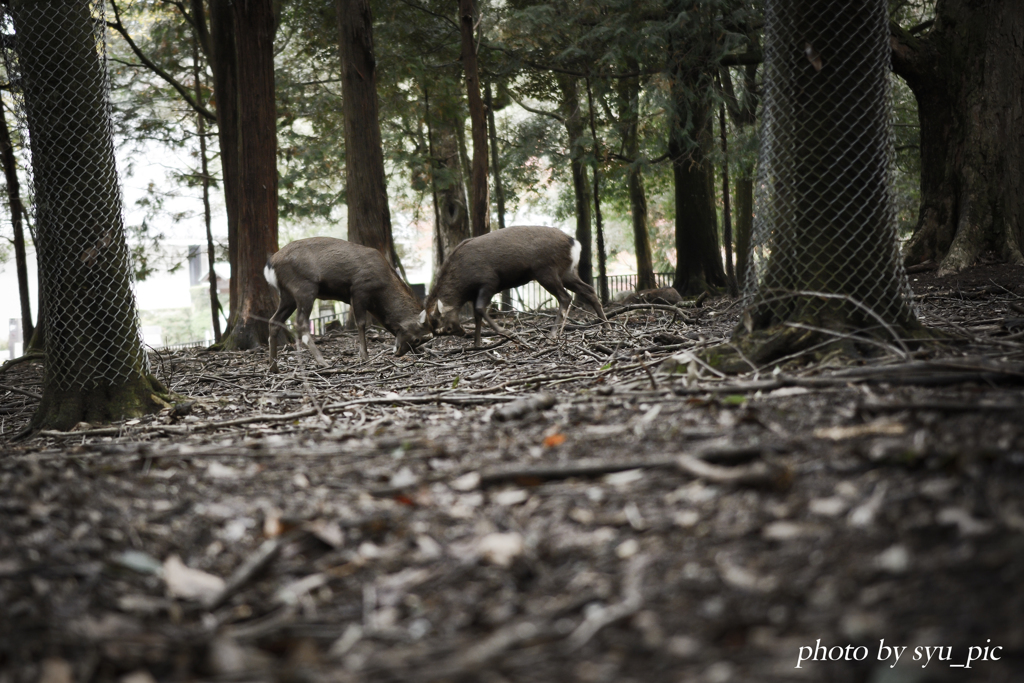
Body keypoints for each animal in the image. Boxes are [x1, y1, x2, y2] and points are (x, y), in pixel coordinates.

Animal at [264, 236, 432, 374]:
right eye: (417, 339)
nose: (399, 353)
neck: (382, 291)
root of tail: (270, 265)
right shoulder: (359, 289)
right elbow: (361, 323)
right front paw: (364, 357)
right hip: (304, 287)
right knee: (301, 323)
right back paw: (323, 362)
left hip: (287, 296)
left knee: (274, 320)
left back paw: (274, 367)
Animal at [425, 227, 606, 348]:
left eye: (448, 328)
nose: (463, 333)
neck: (463, 285)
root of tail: (574, 243)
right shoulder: (475, 293)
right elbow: (476, 315)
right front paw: (477, 343)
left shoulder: (489, 281)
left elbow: (480, 309)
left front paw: (509, 333)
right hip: (567, 272)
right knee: (588, 290)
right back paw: (606, 326)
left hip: (546, 270)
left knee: (565, 297)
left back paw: (552, 335)